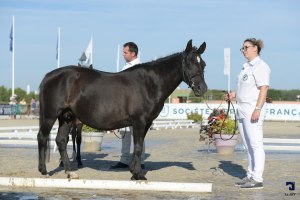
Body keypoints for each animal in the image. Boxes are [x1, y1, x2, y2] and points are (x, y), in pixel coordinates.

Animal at [37, 39, 206, 180]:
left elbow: (138, 147)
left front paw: (134, 171)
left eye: (203, 64)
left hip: (67, 117)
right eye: (189, 62)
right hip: (50, 116)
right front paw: (138, 174)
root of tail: (49, 76)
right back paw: (44, 171)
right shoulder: (139, 121)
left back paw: (70, 171)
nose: (202, 88)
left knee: (61, 140)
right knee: (42, 137)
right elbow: (137, 147)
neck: (149, 83)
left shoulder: (146, 123)